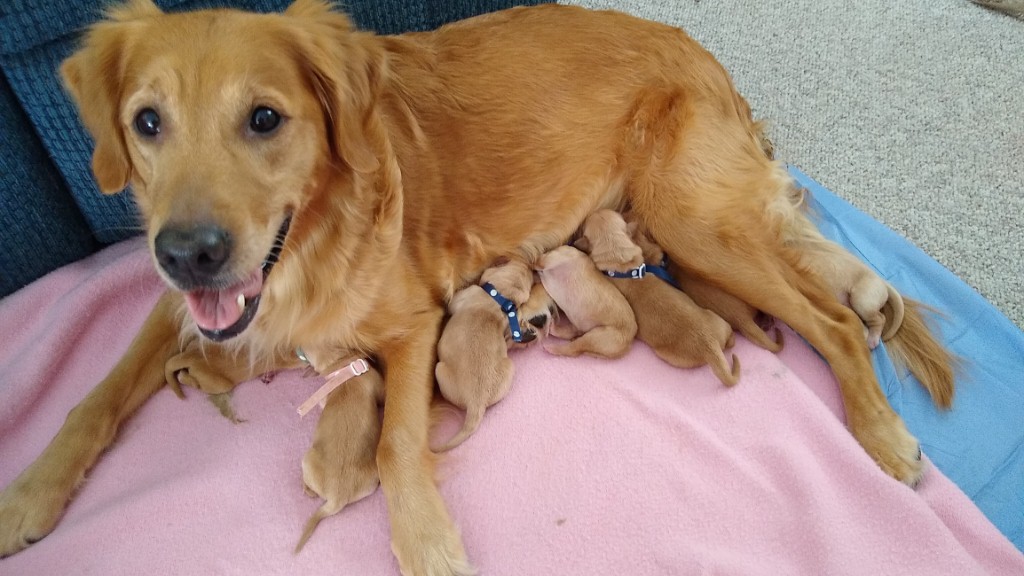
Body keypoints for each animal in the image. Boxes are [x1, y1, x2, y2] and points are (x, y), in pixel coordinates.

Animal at [432, 258, 532, 450]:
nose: (530, 266)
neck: (501, 300)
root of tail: (475, 403)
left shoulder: (468, 294)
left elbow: (452, 303)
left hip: (440, 370)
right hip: (508, 368)